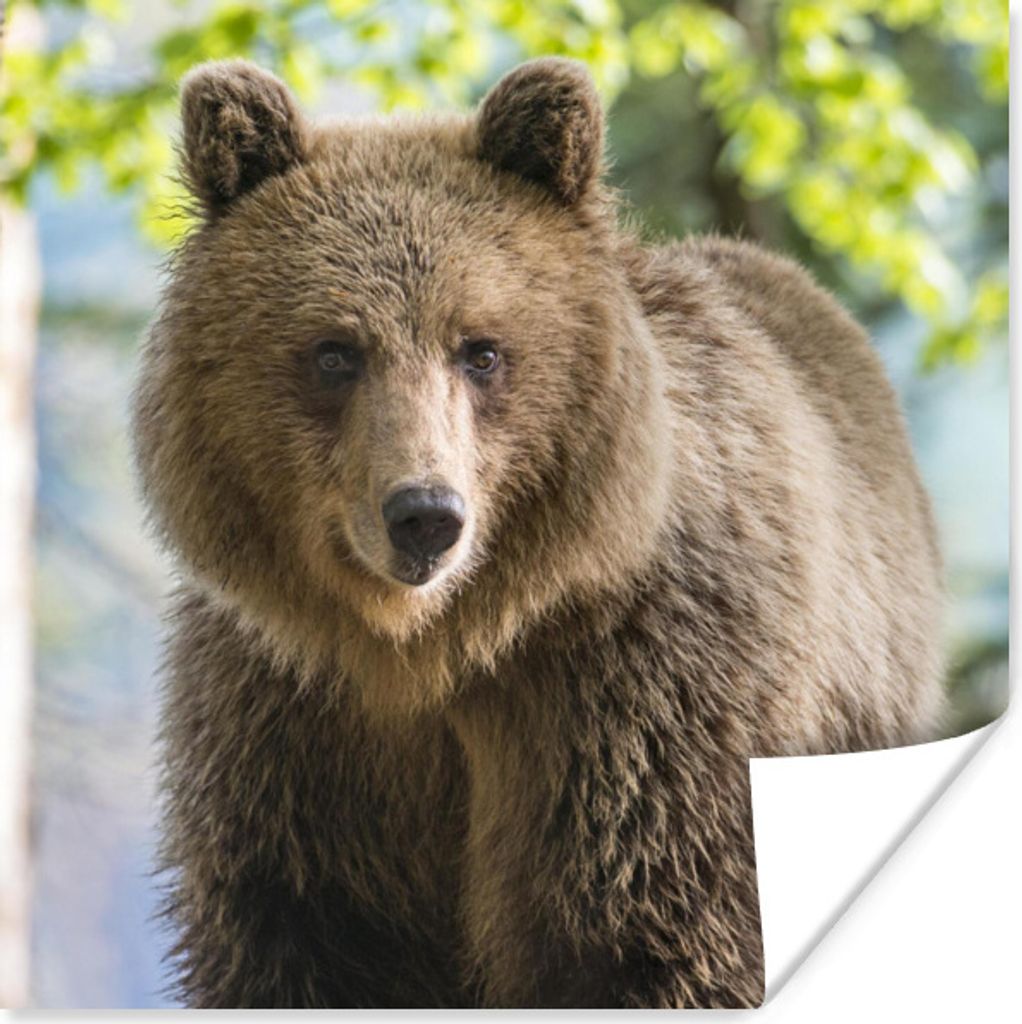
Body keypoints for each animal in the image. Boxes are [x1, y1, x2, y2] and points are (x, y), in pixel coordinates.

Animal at [132, 57, 946, 1008]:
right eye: (334, 351)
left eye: (480, 349)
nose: (425, 515)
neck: (438, 646)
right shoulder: (289, 724)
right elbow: (298, 936)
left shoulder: (642, 701)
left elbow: (654, 930)